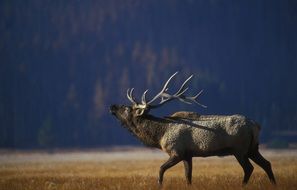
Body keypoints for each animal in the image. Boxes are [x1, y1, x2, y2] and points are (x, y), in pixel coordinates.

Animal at [108, 72, 276, 185]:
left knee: (249, 168)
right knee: (267, 164)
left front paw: (159, 185)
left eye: (127, 109)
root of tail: (256, 125)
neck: (159, 135)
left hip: (239, 150)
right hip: (253, 148)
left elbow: (161, 170)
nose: (112, 106)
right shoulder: (188, 155)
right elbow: (188, 177)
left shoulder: (176, 152)